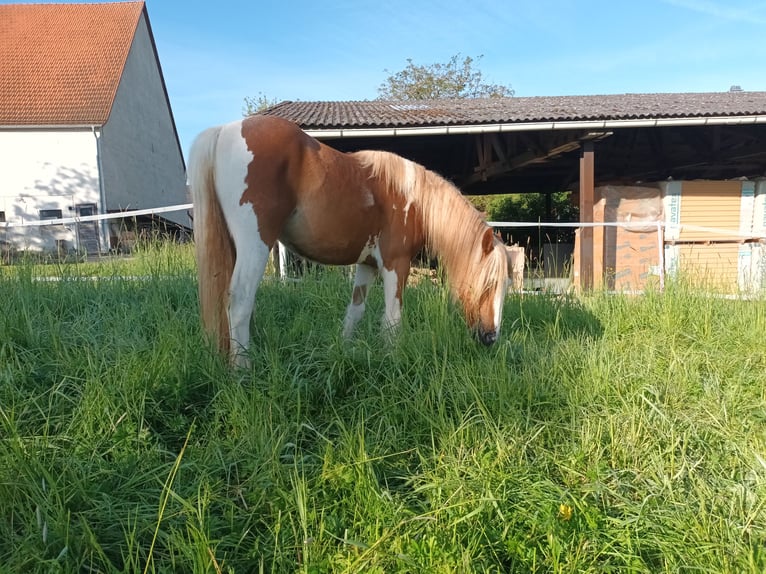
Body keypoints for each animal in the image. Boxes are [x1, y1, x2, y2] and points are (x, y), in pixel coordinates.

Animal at [188, 115, 509, 367]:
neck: (415, 201)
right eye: (489, 284)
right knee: (241, 300)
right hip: (255, 244)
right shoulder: (396, 264)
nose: (491, 337)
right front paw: (393, 360)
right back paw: (243, 370)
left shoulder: (367, 265)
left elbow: (355, 312)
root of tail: (225, 130)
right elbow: (392, 319)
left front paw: (344, 352)